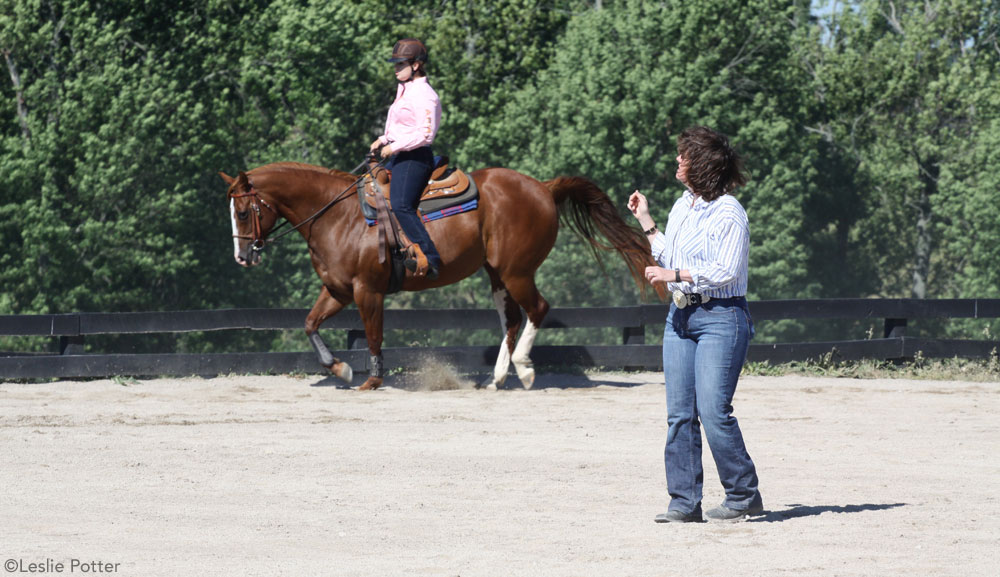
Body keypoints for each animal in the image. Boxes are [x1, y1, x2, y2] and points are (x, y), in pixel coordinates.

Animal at [221, 161, 656, 388]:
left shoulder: (366, 290)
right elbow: (310, 324)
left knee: (537, 309)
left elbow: (373, 334)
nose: (242, 256)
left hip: (517, 271)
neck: (338, 216)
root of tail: (543, 188)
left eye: (242, 211)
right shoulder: (337, 289)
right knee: (512, 319)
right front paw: (340, 368)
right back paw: (498, 377)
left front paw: (371, 380)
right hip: (497, 274)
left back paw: (525, 369)